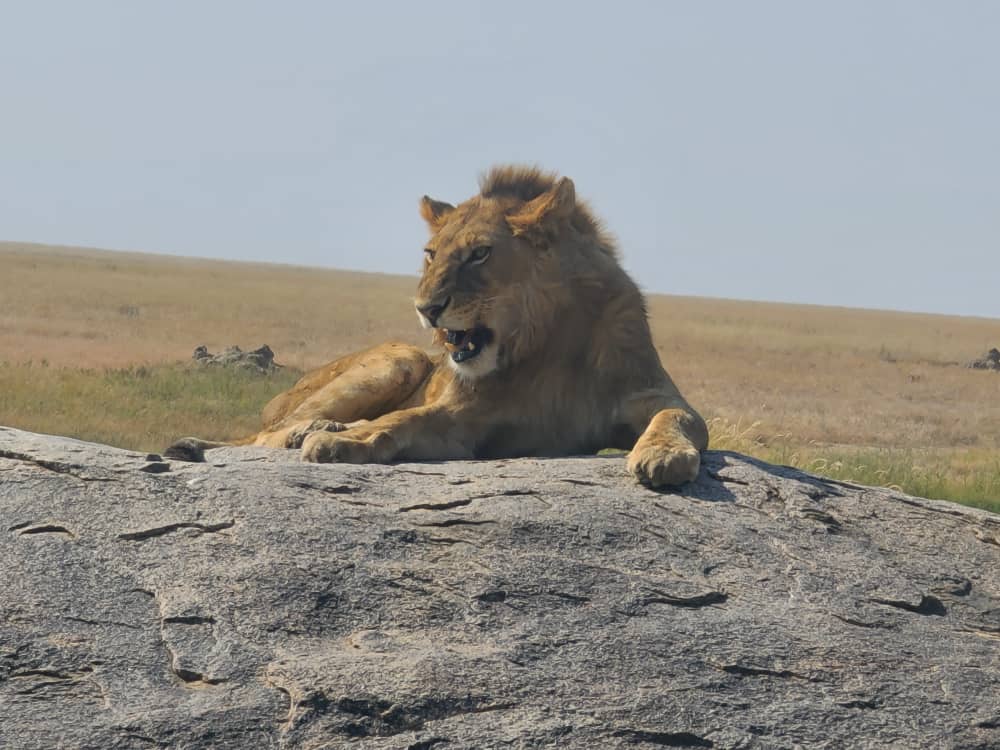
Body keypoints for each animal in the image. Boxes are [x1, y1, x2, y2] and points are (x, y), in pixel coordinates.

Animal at [164, 164, 708, 488]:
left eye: (480, 254)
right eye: (431, 254)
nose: (427, 308)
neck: (545, 345)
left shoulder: (651, 394)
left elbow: (678, 418)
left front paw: (664, 457)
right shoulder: (465, 417)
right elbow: (403, 420)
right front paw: (344, 442)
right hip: (399, 357)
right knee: (259, 437)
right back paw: (292, 432)